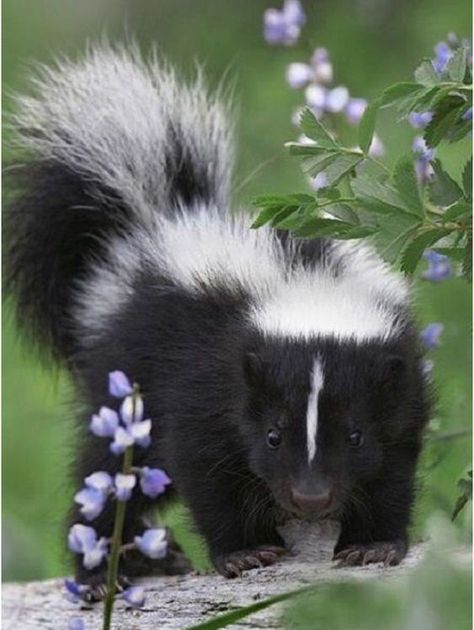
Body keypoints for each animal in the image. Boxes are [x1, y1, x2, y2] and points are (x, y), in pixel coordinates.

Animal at [6, 44, 430, 596]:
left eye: (354, 435)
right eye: (273, 436)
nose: (311, 498)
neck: (305, 285)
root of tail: (157, 225)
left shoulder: (402, 379)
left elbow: (394, 463)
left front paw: (374, 542)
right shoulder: (205, 369)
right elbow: (203, 463)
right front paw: (244, 551)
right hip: (127, 379)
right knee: (109, 472)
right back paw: (107, 568)